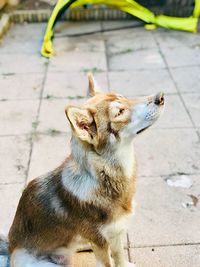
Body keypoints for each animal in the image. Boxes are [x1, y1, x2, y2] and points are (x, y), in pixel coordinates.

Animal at [0, 74, 164, 267]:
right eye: (119, 112)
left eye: (125, 98)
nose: (161, 97)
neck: (106, 177)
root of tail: (10, 246)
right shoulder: (100, 240)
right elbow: (108, 261)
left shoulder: (115, 233)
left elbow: (119, 255)